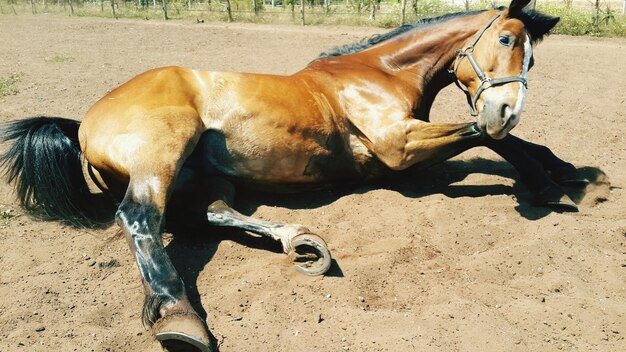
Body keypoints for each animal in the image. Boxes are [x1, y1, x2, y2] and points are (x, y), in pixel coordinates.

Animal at [2, 1, 584, 350]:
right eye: (506, 40)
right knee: (142, 217)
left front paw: (560, 171)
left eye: (531, 56)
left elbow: (496, 142)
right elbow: (486, 137)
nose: (507, 109)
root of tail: (84, 121)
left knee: (207, 213)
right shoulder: (398, 148)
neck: (378, 73)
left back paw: (301, 242)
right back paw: (180, 318)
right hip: (162, 152)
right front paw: (548, 178)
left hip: (203, 176)